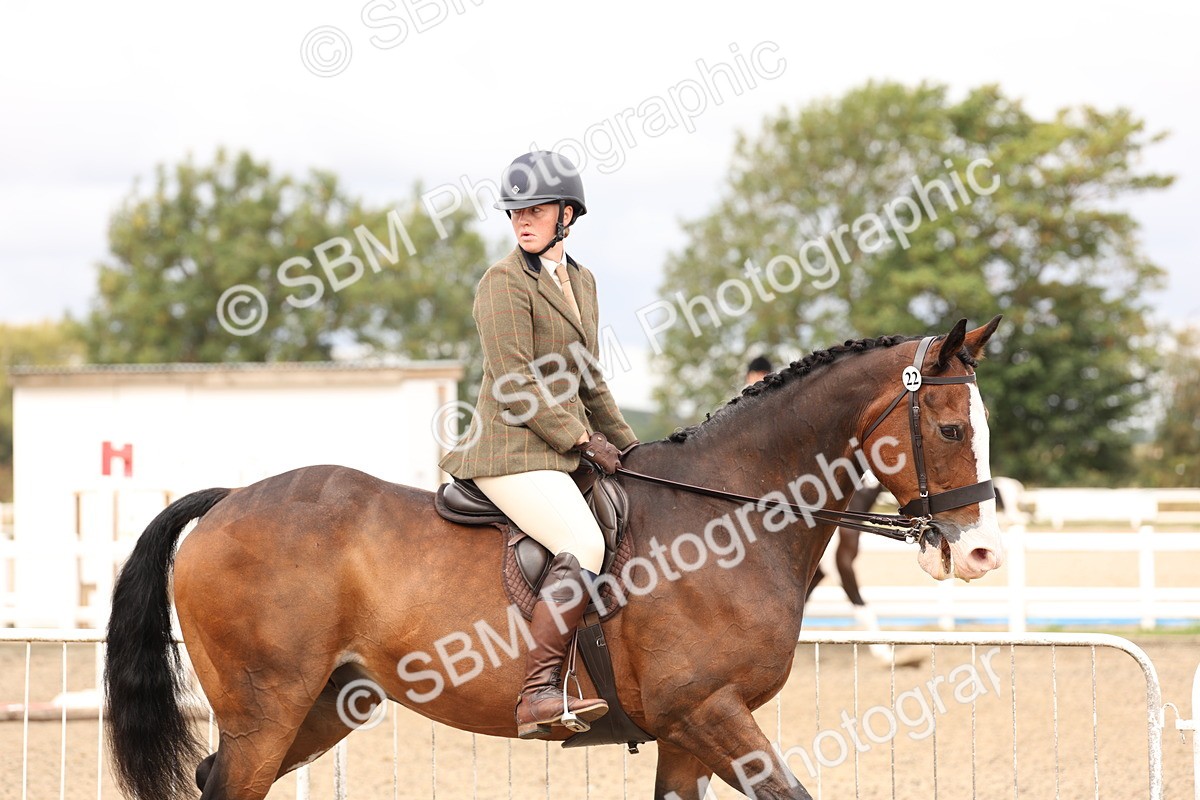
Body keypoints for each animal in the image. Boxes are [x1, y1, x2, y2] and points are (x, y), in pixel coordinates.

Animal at [104, 317, 1005, 800]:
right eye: (951, 428)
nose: (980, 552)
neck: (729, 514)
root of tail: (227, 500)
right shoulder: (710, 710)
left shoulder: (687, 730)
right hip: (268, 710)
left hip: (323, 707)